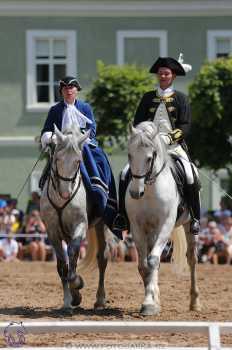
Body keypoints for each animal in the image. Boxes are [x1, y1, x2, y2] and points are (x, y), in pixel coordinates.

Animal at [40, 123, 118, 312]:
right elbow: (63, 265)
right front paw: (69, 300)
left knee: (102, 258)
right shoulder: (52, 231)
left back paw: (100, 300)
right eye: (57, 159)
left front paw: (77, 286)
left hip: (101, 225)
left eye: (78, 161)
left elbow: (73, 255)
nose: (65, 193)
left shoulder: (80, 226)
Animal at [125, 121, 201, 316]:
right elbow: (144, 265)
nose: (136, 193)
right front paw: (150, 301)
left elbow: (152, 260)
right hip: (151, 231)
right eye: (129, 155)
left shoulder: (165, 226)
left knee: (192, 259)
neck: (150, 190)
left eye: (150, 158)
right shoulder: (138, 228)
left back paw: (195, 302)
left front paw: (150, 303)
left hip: (189, 226)